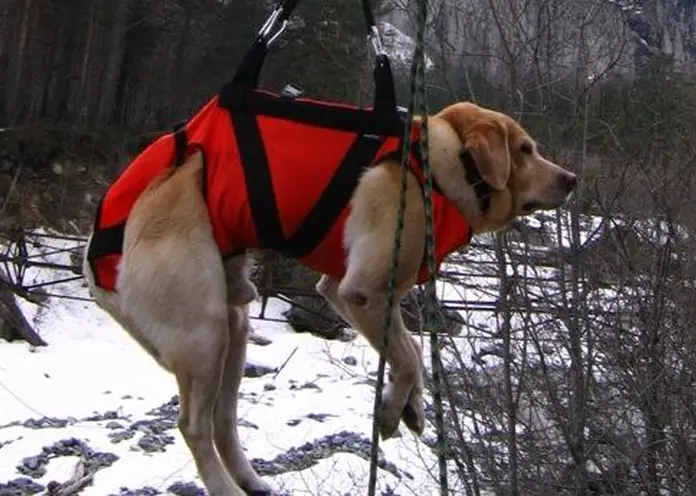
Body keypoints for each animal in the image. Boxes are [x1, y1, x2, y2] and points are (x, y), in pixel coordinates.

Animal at [83, 99, 576, 494]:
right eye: (526, 149)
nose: (571, 178)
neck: (438, 165)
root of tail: (93, 259)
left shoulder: (349, 294)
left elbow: (408, 349)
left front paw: (411, 404)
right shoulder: (364, 292)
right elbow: (409, 355)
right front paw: (393, 408)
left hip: (233, 326)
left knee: (223, 420)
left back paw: (249, 479)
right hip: (203, 329)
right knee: (193, 426)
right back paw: (224, 485)